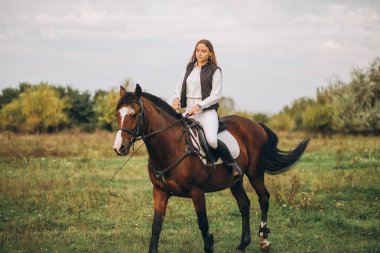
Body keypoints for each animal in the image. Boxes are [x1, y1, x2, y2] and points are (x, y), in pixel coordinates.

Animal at [112, 85, 308, 253]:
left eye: (135, 114)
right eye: (117, 114)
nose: (119, 147)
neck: (173, 147)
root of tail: (256, 124)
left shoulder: (197, 192)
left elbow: (203, 223)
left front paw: (210, 245)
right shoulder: (160, 191)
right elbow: (156, 225)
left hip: (255, 174)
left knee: (264, 199)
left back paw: (264, 241)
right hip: (235, 180)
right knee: (244, 205)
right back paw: (243, 244)